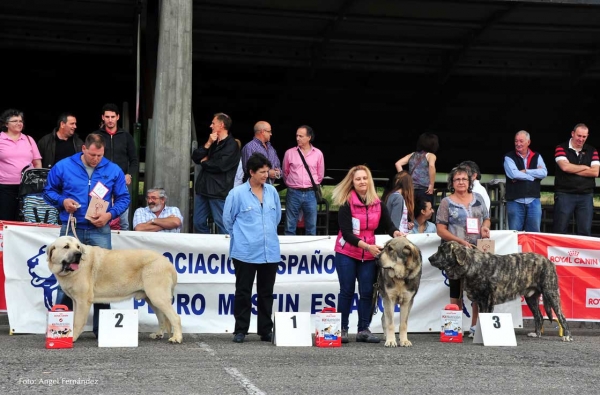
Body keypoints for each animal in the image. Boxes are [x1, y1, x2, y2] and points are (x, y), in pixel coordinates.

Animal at [47, 237, 183, 344]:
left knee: (175, 317)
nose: (78, 255)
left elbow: (78, 321)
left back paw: (176, 338)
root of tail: (168, 263)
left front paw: (72, 337)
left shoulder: (82, 301)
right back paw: (159, 334)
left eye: (78, 247)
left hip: (157, 296)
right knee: (162, 317)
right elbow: (74, 319)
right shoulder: (76, 301)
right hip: (151, 298)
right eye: (66, 247)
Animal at [428, 241, 576, 344]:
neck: (471, 264)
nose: (429, 258)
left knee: (561, 316)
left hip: (551, 293)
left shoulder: (486, 299)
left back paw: (567, 336)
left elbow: (484, 317)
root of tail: (549, 262)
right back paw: (536, 334)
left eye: (442, 251)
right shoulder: (481, 301)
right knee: (538, 316)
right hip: (531, 298)